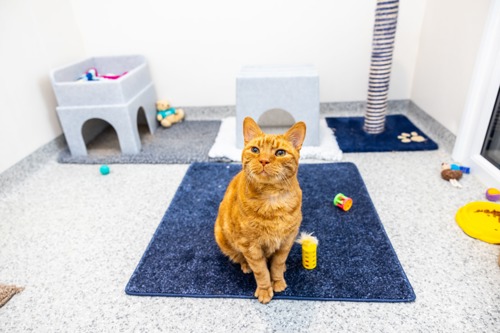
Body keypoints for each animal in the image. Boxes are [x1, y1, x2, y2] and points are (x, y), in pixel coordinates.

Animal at [214, 116, 304, 304]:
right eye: (255, 150)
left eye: (280, 153)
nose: (263, 160)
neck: (272, 200)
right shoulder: (251, 247)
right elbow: (261, 271)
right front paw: (264, 289)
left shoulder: (287, 240)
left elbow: (277, 264)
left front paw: (278, 280)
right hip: (223, 236)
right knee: (238, 256)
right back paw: (245, 265)